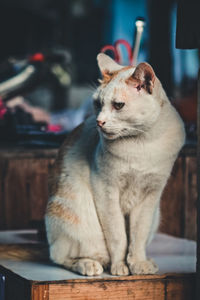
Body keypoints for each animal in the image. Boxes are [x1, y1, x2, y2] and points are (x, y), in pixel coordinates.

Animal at [44, 52, 185, 276]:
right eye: (97, 104)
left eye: (118, 105)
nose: (99, 122)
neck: (142, 144)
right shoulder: (107, 191)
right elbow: (119, 237)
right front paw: (121, 267)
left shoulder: (150, 195)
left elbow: (137, 237)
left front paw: (138, 264)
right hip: (70, 212)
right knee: (61, 257)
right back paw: (91, 265)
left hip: (155, 216)